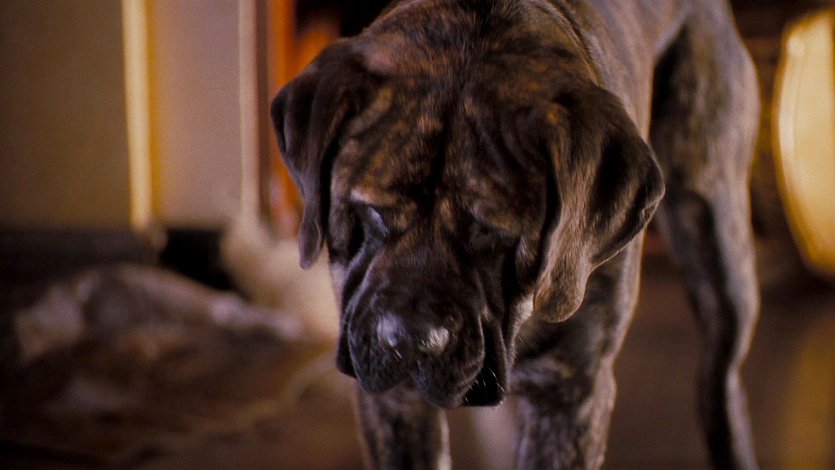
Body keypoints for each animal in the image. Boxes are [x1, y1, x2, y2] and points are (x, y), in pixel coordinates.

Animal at [271, 0, 760, 468]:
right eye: (371, 210)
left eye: (491, 232)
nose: (410, 338)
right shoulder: (393, 403)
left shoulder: (571, 393)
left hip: (718, 241)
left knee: (720, 381)